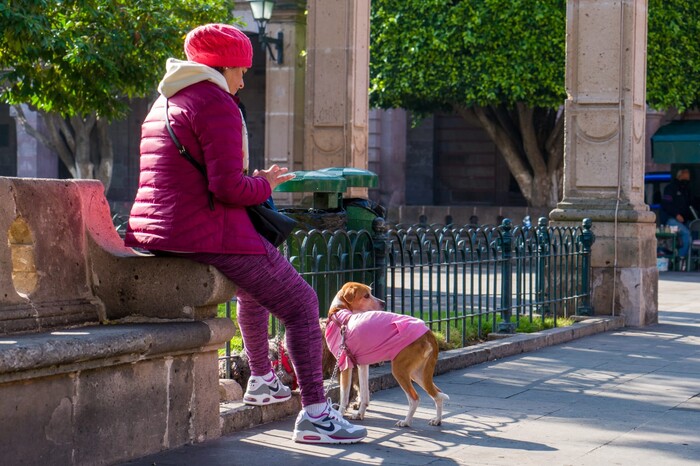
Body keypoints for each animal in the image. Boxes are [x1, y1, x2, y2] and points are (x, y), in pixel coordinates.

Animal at [324, 280, 448, 426]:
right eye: (366, 295)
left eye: (370, 292)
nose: (383, 303)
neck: (339, 313)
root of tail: (428, 332)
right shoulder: (362, 365)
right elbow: (364, 394)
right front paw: (359, 414)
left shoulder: (345, 366)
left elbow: (344, 396)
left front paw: (339, 414)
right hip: (418, 372)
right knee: (438, 394)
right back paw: (437, 420)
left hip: (400, 370)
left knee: (415, 398)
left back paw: (406, 422)